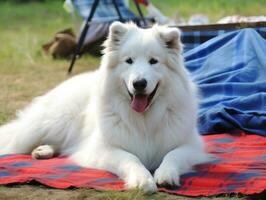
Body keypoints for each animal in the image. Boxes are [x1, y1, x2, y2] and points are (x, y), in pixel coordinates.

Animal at [0, 22, 208, 192]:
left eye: (153, 61)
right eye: (129, 61)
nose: (139, 83)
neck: (144, 119)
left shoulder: (191, 145)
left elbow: (173, 155)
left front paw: (166, 175)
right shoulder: (101, 149)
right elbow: (130, 158)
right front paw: (142, 180)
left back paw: (44, 151)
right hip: (48, 124)